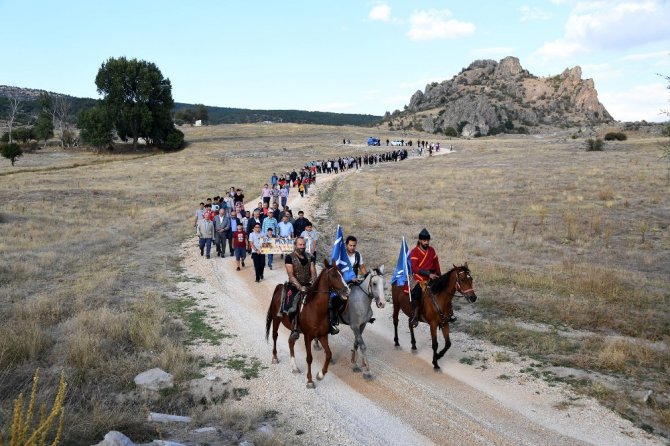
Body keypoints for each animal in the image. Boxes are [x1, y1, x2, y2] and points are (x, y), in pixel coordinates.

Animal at [266, 260, 352, 388]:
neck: (316, 309)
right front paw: (310, 380)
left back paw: (294, 367)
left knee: (291, 342)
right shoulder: (308, 337)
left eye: (342, 273)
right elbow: (309, 358)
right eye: (333, 275)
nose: (347, 291)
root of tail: (280, 287)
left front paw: (320, 375)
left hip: (294, 330)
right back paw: (275, 357)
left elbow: (328, 354)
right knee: (275, 336)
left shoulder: (322, 335)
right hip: (276, 320)